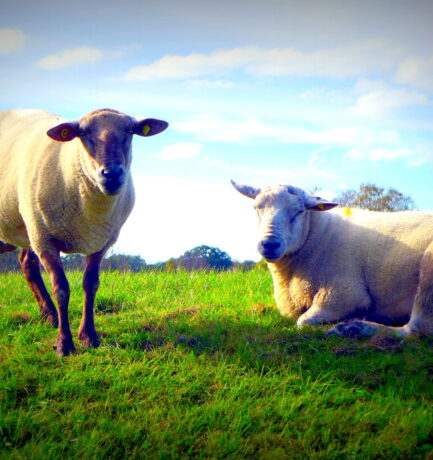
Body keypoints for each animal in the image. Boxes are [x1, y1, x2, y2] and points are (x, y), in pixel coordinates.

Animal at [0, 108, 168, 356]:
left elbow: (91, 285)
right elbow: (61, 289)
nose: (112, 174)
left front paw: (89, 336)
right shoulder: (45, 240)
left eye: (130, 130)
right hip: (33, 227)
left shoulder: (101, 242)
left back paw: (49, 315)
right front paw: (64, 344)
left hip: (29, 227)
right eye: (83, 133)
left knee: (27, 263)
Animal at [231, 181, 432, 340]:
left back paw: (352, 328)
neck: (316, 234)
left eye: (299, 211)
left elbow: (302, 321)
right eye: (256, 208)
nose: (269, 244)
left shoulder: (344, 295)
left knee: (416, 329)